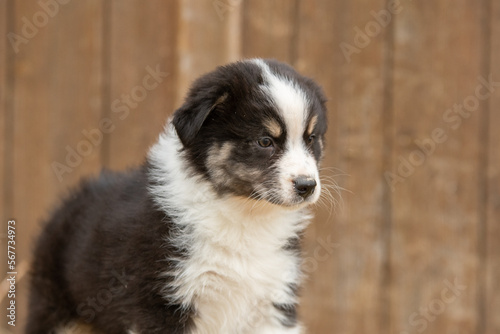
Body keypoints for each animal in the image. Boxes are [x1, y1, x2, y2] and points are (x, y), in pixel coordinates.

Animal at [29, 58, 330, 332]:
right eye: (265, 141)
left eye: (311, 138)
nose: (307, 185)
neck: (244, 214)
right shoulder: (161, 302)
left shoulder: (272, 304)